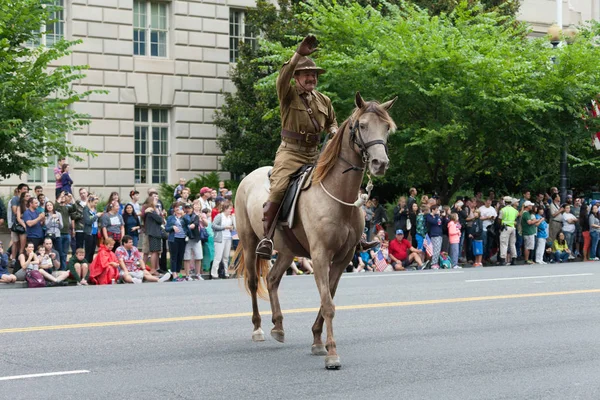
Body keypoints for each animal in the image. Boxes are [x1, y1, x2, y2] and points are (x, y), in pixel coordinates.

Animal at [234, 91, 398, 368]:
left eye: (387, 127)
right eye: (362, 125)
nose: (380, 163)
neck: (337, 196)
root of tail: (248, 177)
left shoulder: (342, 258)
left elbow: (327, 297)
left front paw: (317, 341)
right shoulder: (321, 255)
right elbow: (328, 303)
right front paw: (332, 353)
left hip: (287, 250)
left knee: (273, 279)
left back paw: (278, 326)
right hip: (249, 242)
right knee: (255, 281)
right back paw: (257, 328)